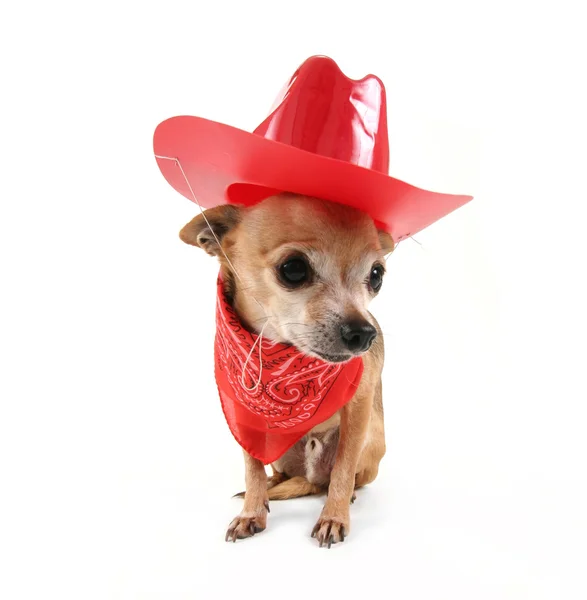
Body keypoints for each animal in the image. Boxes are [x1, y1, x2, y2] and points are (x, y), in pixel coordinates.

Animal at [180, 193, 396, 548]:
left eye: (376, 275)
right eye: (293, 269)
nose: (365, 333)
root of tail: (310, 478)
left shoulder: (359, 405)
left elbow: (343, 469)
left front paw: (334, 517)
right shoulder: (243, 414)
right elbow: (251, 468)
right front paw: (252, 512)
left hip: (371, 443)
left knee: (341, 477)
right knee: (283, 474)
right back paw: (273, 485)